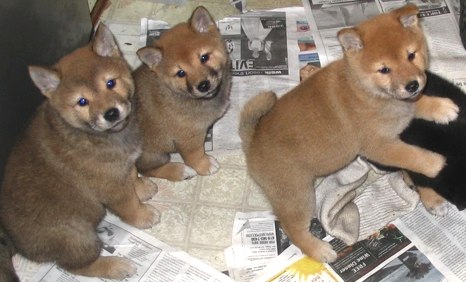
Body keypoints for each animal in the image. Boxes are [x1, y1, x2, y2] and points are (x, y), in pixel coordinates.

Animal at [0, 24, 160, 280]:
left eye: (110, 83)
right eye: (82, 102)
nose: (111, 113)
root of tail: (14, 243)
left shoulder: (123, 166)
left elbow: (133, 173)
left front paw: (142, 188)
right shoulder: (110, 186)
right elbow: (128, 204)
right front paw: (143, 215)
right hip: (78, 236)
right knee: (76, 266)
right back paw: (116, 266)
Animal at [133, 5, 231, 182]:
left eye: (204, 57)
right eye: (180, 73)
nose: (203, 85)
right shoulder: (189, 138)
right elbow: (194, 155)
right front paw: (204, 165)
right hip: (153, 154)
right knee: (148, 170)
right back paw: (181, 171)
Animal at [240, 4, 458, 264]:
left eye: (411, 55)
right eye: (384, 69)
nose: (413, 85)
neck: (365, 90)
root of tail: (252, 141)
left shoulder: (404, 108)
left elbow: (419, 105)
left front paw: (441, 108)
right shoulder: (379, 147)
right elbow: (413, 156)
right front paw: (437, 164)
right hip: (298, 195)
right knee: (292, 229)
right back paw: (319, 250)